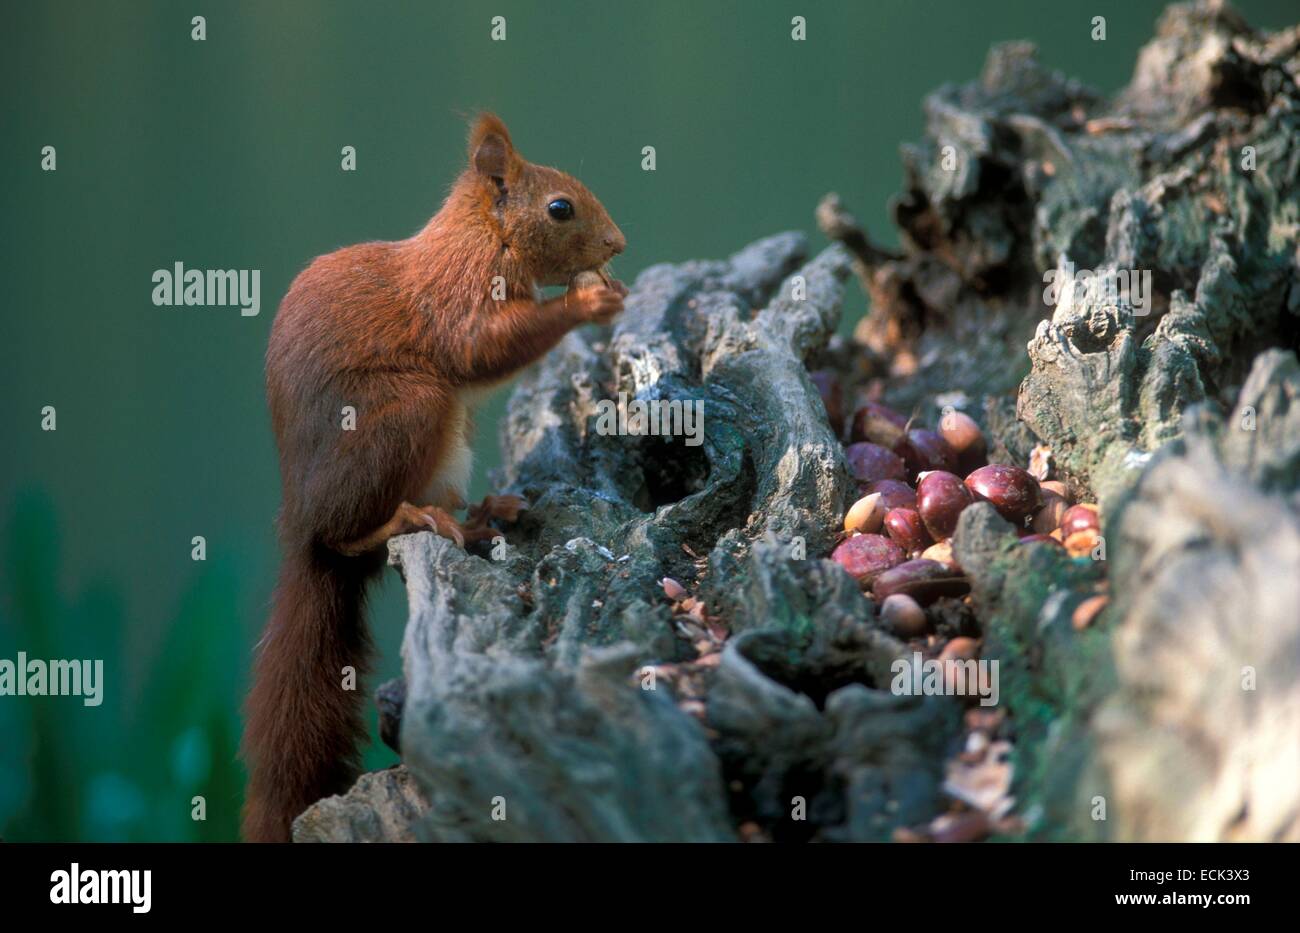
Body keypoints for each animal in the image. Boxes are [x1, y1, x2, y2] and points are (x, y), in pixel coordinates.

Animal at [246, 113, 629, 842]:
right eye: (559, 208)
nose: (619, 244)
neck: (485, 238)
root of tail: (298, 522)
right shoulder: (457, 299)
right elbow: (481, 348)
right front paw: (590, 301)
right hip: (406, 413)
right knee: (348, 535)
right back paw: (407, 518)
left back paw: (478, 514)